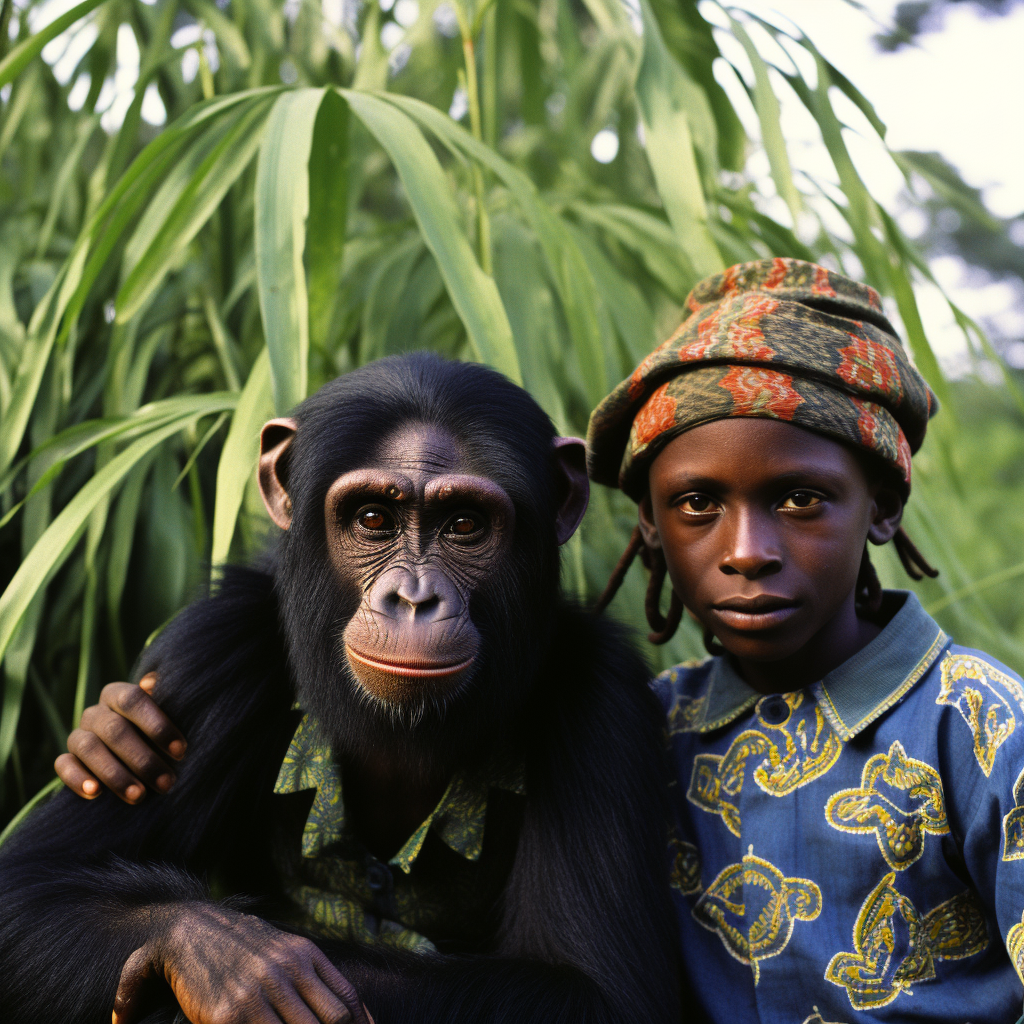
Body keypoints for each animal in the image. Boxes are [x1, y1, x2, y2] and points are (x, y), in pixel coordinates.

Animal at [0, 354, 679, 1024]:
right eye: (373, 519)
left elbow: (595, 990)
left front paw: (242, 968)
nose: (414, 598)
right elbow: (30, 881)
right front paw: (221, 954)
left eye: (465, 525)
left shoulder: (603, 701)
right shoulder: (215, 648)